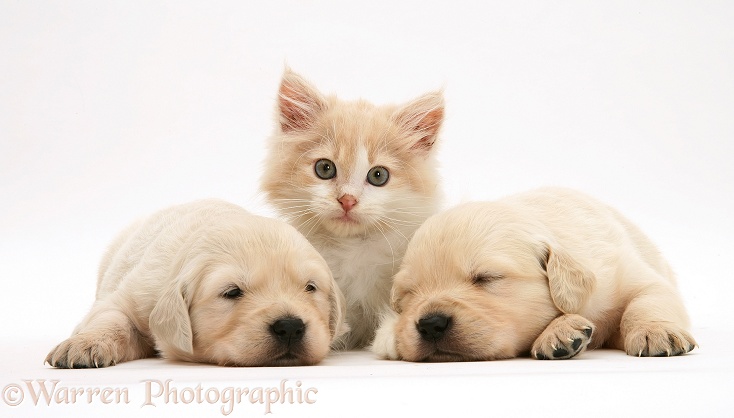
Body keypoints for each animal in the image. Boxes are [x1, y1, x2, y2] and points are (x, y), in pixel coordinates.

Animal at [45, 201, 348, 368]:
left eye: (310, 287)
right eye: (232, 292)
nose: (290, 327)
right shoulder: (135, 293)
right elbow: (111, 317)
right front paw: (83, 344)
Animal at [376, 188, 700, 360]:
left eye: (486, 277)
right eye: (409, 293)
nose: (430, 324)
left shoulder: (629, 273)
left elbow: (647, 299)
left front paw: (654, 331)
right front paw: (562, 330)